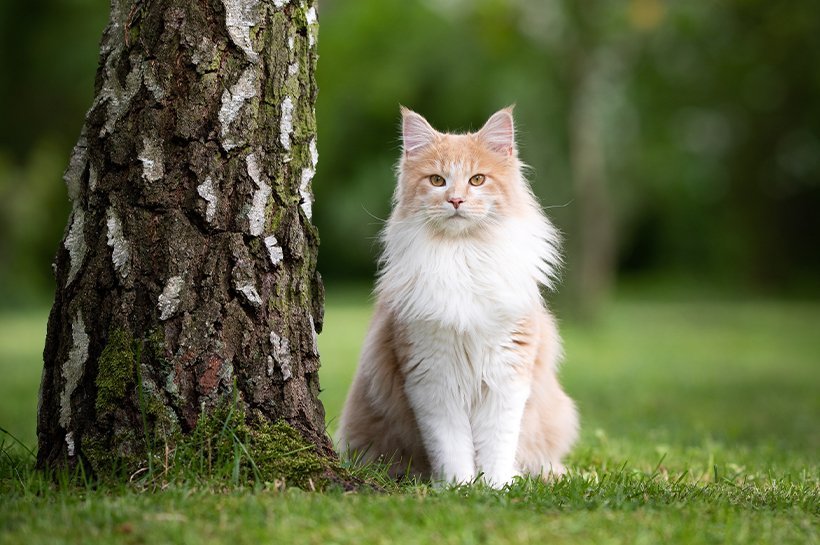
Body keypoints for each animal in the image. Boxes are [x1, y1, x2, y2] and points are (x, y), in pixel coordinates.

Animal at [336, 105, 580, 484]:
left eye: (477, 180)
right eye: (437, 181)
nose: (455, 200)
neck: (463, 256)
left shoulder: (506, 376)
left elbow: (497, 447)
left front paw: (496, 487)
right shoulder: (433, 381)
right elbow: (452, 449)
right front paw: (460, 487)